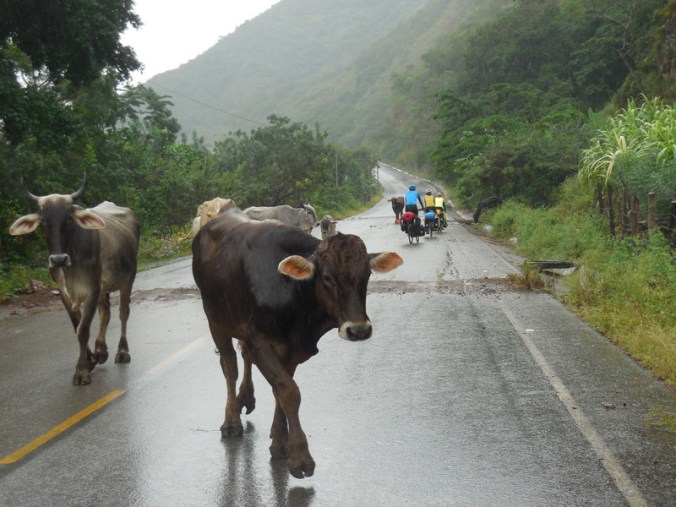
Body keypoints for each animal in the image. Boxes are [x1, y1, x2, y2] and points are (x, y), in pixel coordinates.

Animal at [9, 177, 140, 385]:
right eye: (43, 221)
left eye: (68, 218)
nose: (58, 259)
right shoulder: (65, 293)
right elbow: (76, 326)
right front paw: (91, 359)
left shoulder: (93, 289)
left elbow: (83, 329)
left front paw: (81, 371)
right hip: (104, 287)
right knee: (106, 313)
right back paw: (101, 350)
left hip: (128, 277)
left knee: (123, 313)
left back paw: (122, 352)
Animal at [192, 209, 402, 478]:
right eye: (327, 277)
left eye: (366, 275)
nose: (358, 329)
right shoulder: (260, 341)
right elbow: (290, 392)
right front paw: (300, 458)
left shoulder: (290, 349)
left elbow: (281, 391)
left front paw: (280, 442)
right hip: (216, 319)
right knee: (230, 366)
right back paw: (231, 421)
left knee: (244, 357)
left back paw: (246, 398)